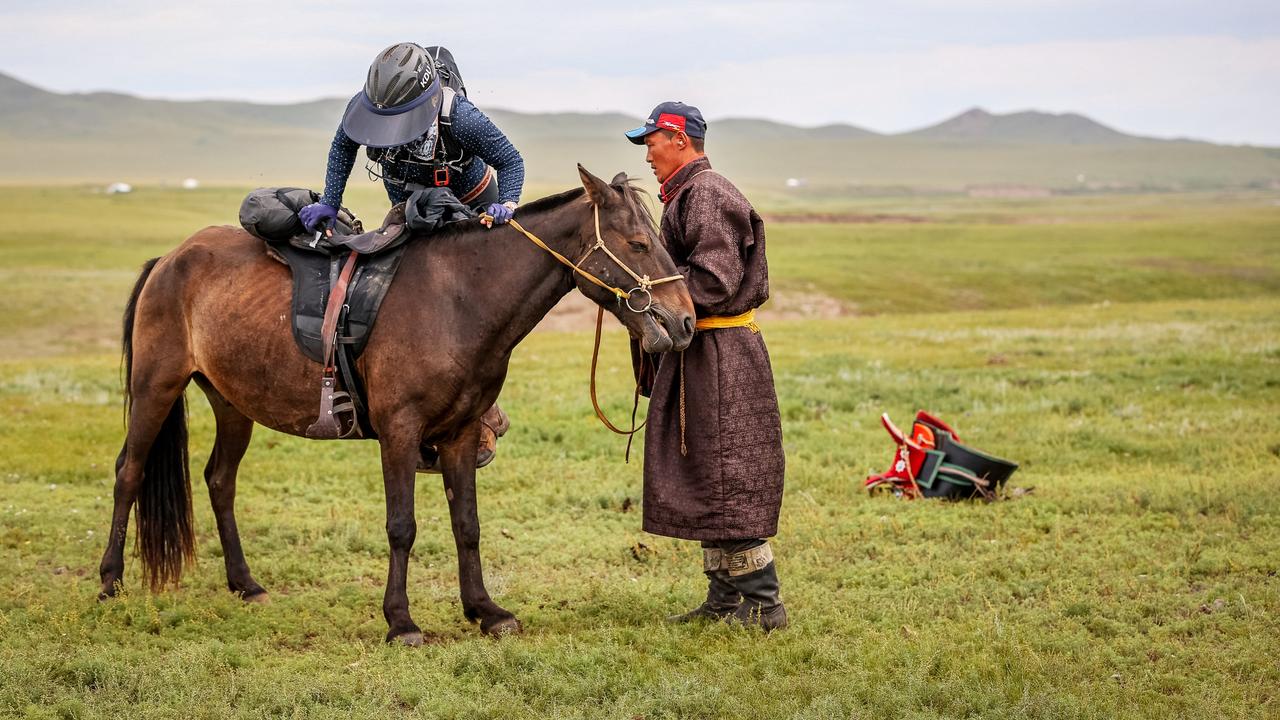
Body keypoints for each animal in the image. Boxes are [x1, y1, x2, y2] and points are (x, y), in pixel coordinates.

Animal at [97, 165, 701, 640]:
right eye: (638, 244)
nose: (684, 321)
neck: (460, 299)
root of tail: (170, 259)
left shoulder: (460, 433)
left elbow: (468, 524)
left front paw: (485, 611)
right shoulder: (400, 433)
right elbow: (401, 526)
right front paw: (401, 621)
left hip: (231, 402)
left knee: (220, 480)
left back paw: (245, 585)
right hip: (156, 385)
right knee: (129, 471)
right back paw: (110, 582)